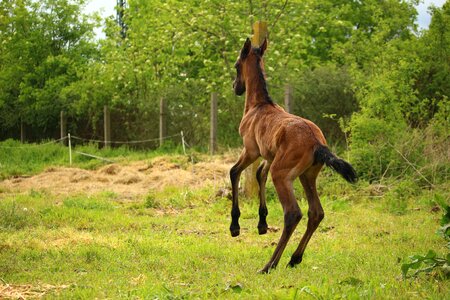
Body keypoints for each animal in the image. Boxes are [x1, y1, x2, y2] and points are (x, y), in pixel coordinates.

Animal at [230, 36, 356, 274]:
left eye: (236, 65)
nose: (236, 88)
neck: (258, 105)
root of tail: (317, 143)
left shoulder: (251, 150)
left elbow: (234, 172)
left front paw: (235, 226)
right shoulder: (269, 156)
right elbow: (259, 175)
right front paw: (262, 224)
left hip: (282, 174)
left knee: (293, 213)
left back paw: (270, 264)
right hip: (306, 175)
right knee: (316, 212)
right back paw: (294, 258)